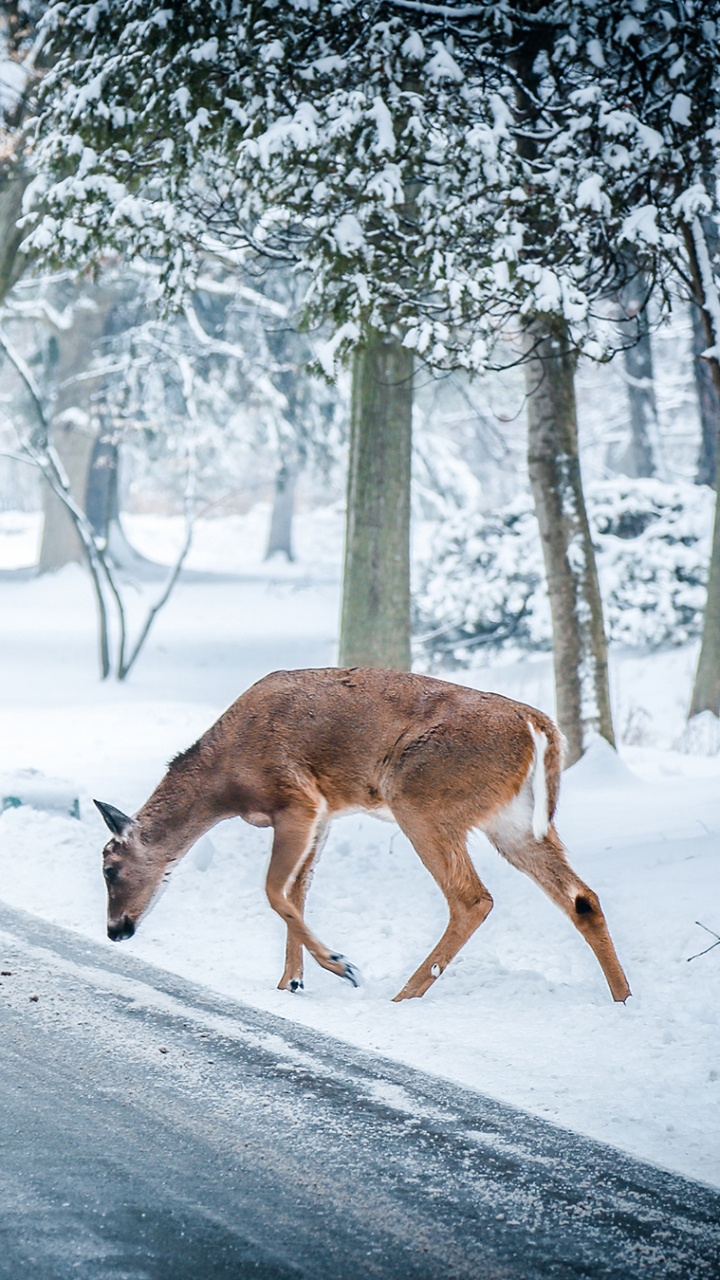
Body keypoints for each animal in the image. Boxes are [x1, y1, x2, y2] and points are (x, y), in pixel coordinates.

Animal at [95, 667, 631, 1003]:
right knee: (582, 898)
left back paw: (403, 994)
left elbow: (273, 891)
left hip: (420, 796)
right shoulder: (326, 813)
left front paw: (340, 965)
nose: (115, 930)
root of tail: (539, 728)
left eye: (109, 867)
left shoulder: (298, 798)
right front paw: (290, 983)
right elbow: (297, 892)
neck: (224, 781)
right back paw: (623, 998)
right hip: (513, 822)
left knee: (472, 898)